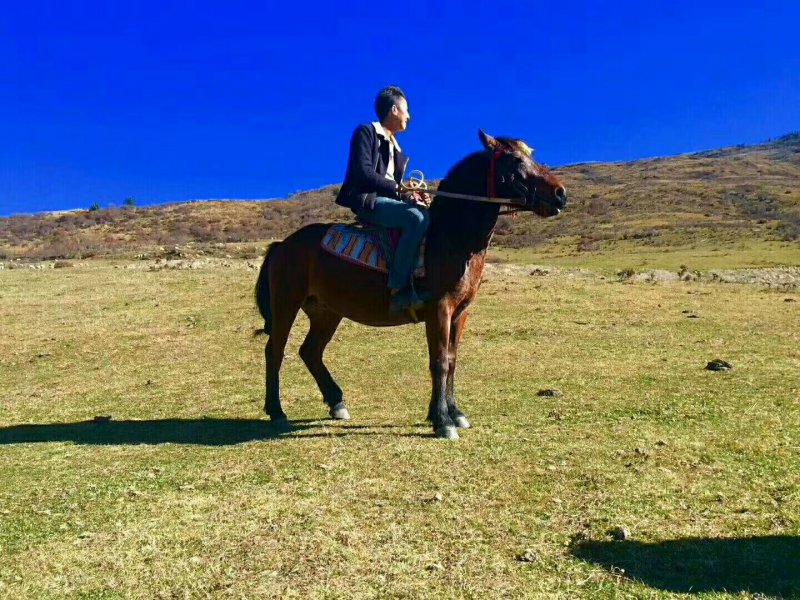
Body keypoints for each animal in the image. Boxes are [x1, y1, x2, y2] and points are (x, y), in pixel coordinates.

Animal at [255, 130, 567, 439]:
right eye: (515, 160)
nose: (560, 194)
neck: (452, 238)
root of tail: (283, 245)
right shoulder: (440, 308)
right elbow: (439, 362)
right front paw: (443, 422)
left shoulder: (461, 312)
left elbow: (451, 359)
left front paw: (453, 413)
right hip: (286, 304)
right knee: (275, 351)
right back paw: (277, 412)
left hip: (327, 312)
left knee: (310, 352)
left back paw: (337, 403)